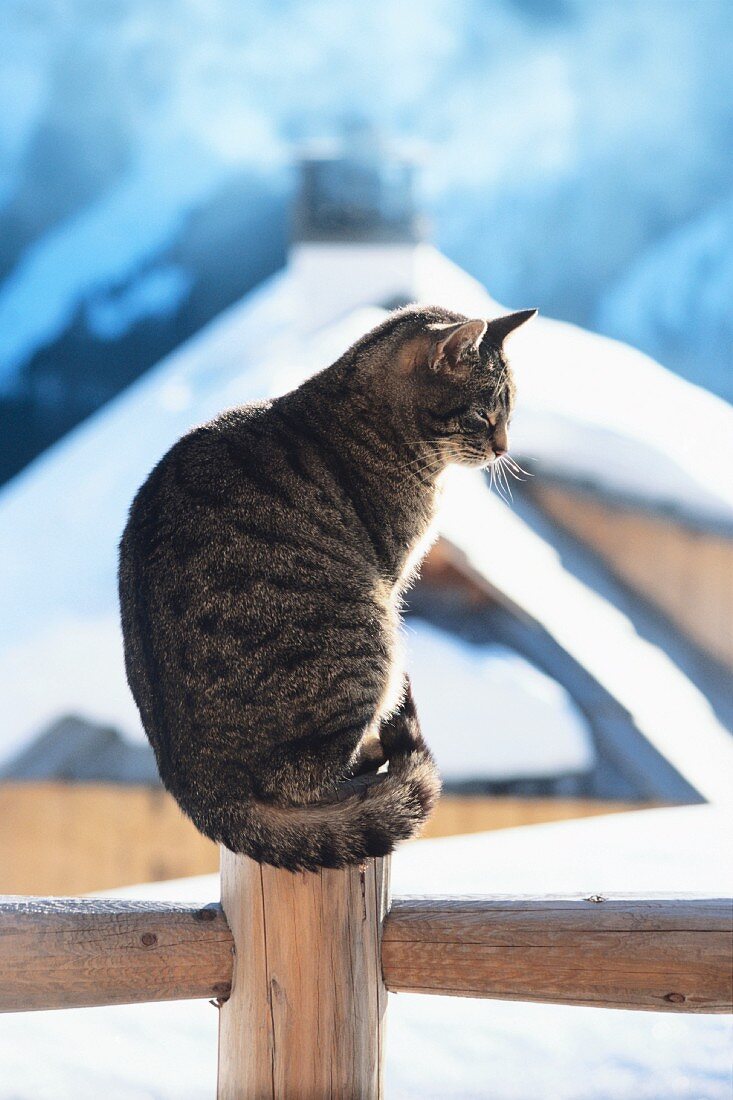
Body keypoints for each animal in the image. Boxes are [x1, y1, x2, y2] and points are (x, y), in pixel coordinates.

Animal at [117, 301, 534, 866]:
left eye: (509, 414)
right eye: (483, 415)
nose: (503, 447)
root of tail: (201, 794)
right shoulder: (392, 575)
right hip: (370, 632)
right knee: (315, 782)